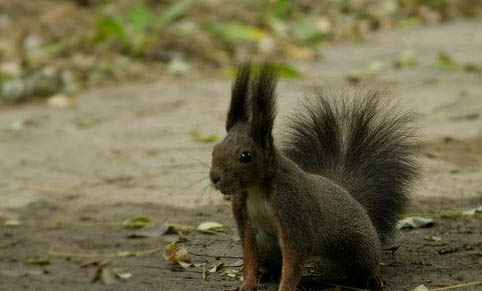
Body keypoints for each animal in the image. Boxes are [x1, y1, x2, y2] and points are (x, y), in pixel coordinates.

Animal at [210, 64, 418, 291]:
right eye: (215, 149)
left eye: (245, 156)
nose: (214, 177)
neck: (257, 189)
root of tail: (348, 194)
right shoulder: (245, 219)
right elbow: (249, 257)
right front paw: (247, 284)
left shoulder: (294, 211)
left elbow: (293, 261)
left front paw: (285, 288)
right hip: (268, 247)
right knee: (271, 262)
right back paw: (266, 274)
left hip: (359, 244)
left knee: (367, 261)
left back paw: (373, 278)